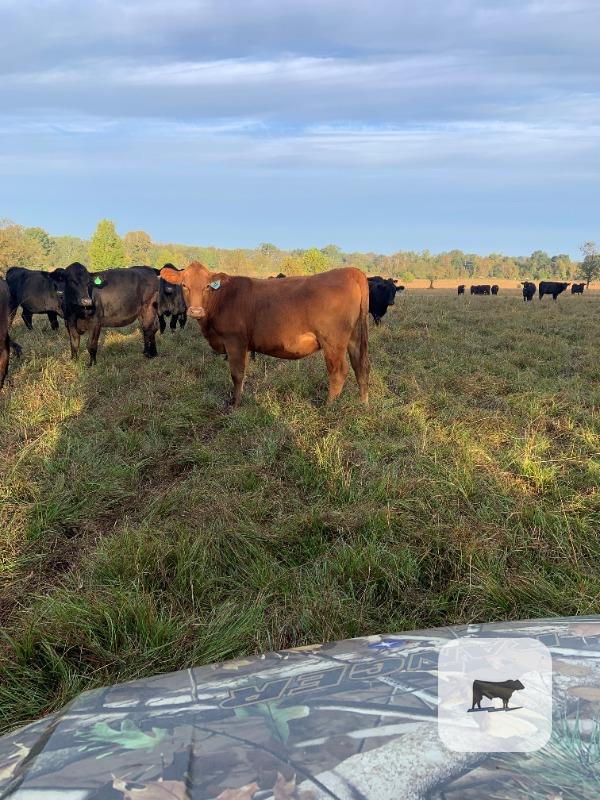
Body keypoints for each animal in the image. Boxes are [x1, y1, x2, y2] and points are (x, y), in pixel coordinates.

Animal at [160, 262, 369, 407]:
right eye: (184, 285)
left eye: (207, 287)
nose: (195, 311)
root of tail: (350, 271)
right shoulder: (244, 345)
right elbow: (243, 374)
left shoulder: (234, 340)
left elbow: (236, 373)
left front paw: (235, 404)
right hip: (354, 338)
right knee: (361, 368)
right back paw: (363, 404)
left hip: (332, 341)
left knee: (339, 372)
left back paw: (328, 407)